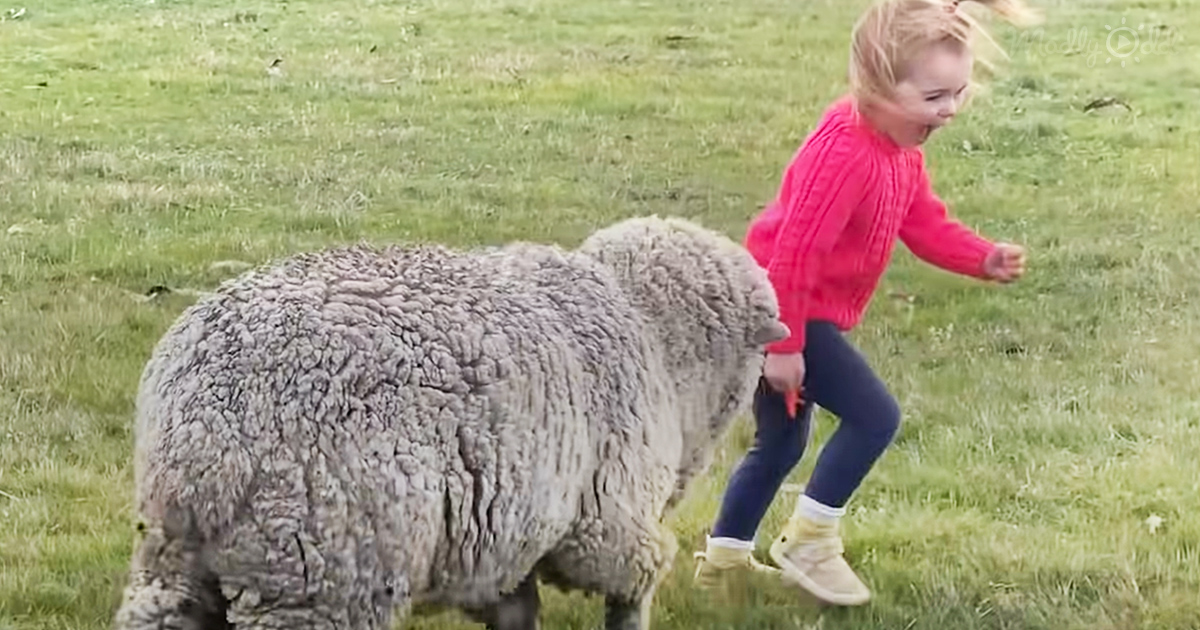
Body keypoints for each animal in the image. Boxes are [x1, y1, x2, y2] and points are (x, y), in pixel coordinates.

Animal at [112, 215, 789, 630]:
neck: (646, 328)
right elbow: (635, 585)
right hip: (317, 576)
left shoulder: (511, 535)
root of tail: (200, 429)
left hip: (179, 565)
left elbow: (517, 608)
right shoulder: (605, 525)